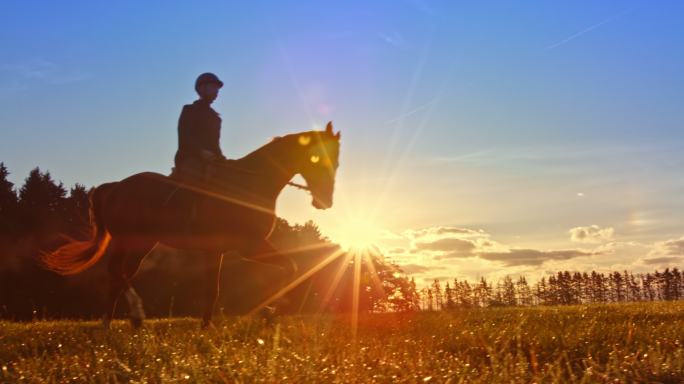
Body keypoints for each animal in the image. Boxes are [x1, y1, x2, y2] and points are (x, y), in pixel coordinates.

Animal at [41, 121, 340, 328]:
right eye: (316, 159)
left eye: (336, 162)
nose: (325, 201)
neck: (249, 184)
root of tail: (115, 187)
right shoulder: (249, 246)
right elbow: (291, 267)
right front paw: (270, 311)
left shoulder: (220, 251)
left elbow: (214, 289)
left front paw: (208, 327)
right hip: (129, 240)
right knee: (116, 271)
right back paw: (134, 314)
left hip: (142, 245)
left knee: (121, 274)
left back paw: (110, 324)